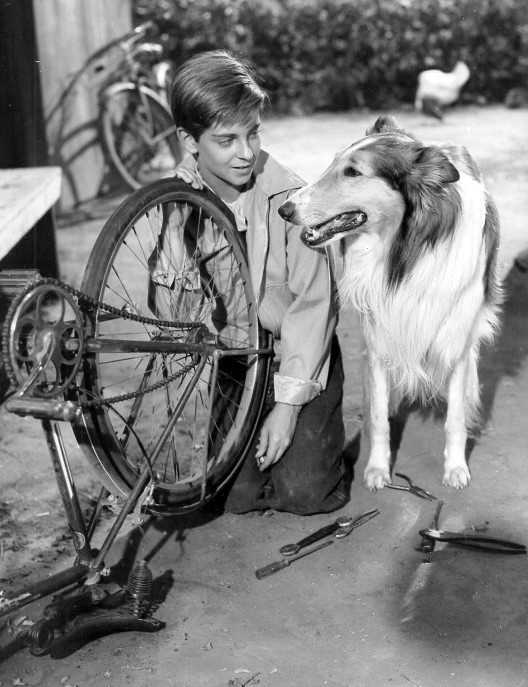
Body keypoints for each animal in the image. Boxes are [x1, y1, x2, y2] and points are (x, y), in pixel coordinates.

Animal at [278, 117, 502, 490]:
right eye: (334, 162)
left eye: (353, 172)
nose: (284, 210)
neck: (403, 253)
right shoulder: (378, 338)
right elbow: (379, 417)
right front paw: (377, 469)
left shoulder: (455, 340)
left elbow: (455, 416)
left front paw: (455, 468)